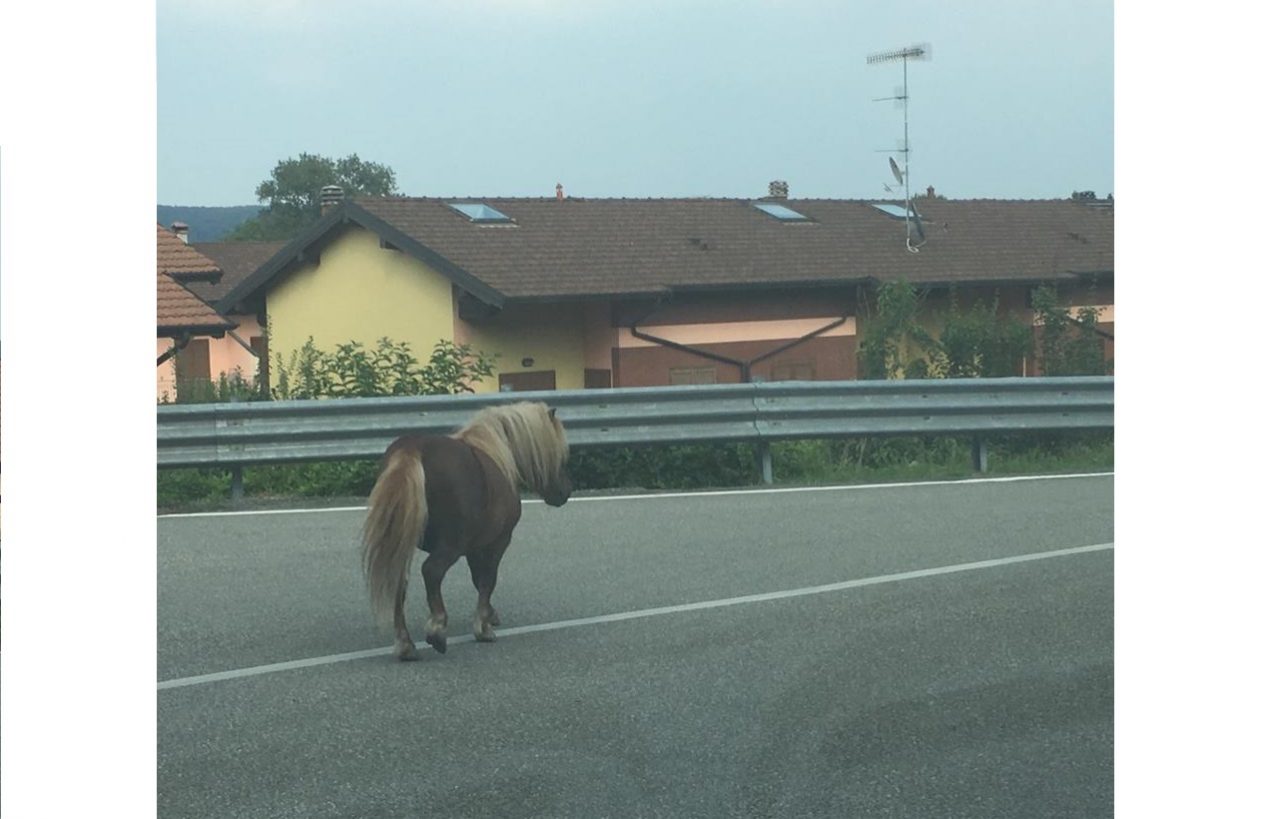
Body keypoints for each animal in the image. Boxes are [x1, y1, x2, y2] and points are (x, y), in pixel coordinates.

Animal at [361, 401, 572, 660]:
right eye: (559, 454)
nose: (565, 492)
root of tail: (413, 449)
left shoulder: (474, 547)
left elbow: (477, 578)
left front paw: (490, 615)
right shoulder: (497, 542)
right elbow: (488, 579)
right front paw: (483, 628)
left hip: (402, 541)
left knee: (400, 582)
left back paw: (406, 645)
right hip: (449, 545)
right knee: (431, 571)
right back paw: (437, 630)